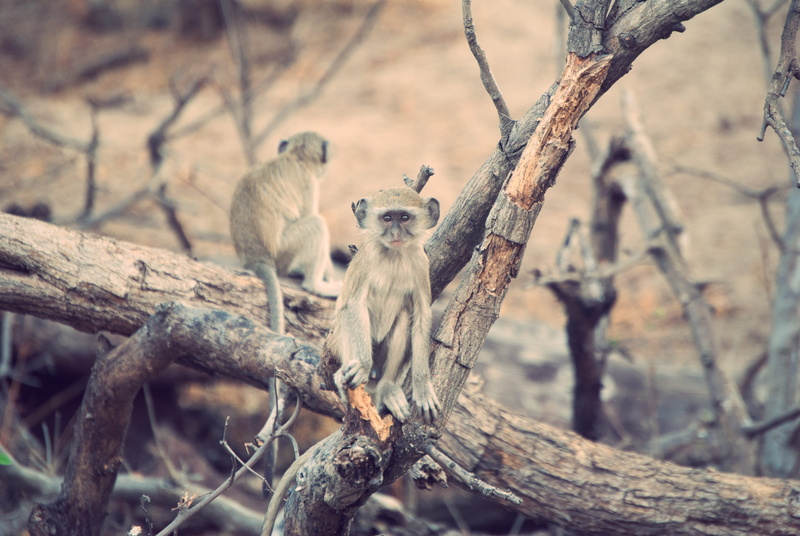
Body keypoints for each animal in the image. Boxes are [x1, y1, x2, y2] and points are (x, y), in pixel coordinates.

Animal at [229, 131, 340, 498]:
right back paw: (318, 285)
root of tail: (257, 258)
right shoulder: (308, 184)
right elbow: (310, 212)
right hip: (287, 251)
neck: (292, 158)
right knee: (315, 224)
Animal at [327, 186, 441, 423]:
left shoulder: (421, 263)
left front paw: (422, 386)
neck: (394, 255)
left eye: (405, 218)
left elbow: (421, 314)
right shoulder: (367, 260)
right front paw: (362, 365)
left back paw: (387, 387)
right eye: (387, 218)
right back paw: (349, 373)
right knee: (347, 316)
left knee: (406, 315)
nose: (396, 234)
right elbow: (355, 305)